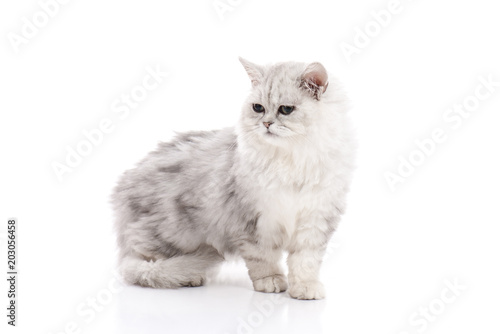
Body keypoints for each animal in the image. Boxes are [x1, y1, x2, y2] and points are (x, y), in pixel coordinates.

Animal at [112, 57, 356, 300]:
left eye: (286, 110)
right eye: (258, 108)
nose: (266, 124)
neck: (290, 160)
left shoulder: (316, 220)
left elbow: (306, 262)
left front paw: (305, 288)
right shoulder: (252, 221)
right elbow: (263, 258)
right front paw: (270, 282)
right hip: (171, 233)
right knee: (145, 268)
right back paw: (190, 276)